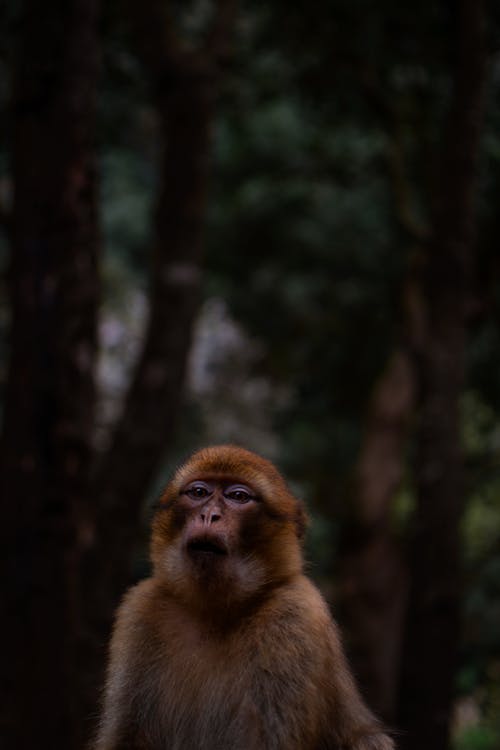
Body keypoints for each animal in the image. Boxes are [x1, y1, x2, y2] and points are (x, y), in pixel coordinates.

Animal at [94, 446, 394, 750]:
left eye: (238, 497)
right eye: (199, 492)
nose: (209, 515)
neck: (213, 611)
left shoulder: (295, 615)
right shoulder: (141, 610)